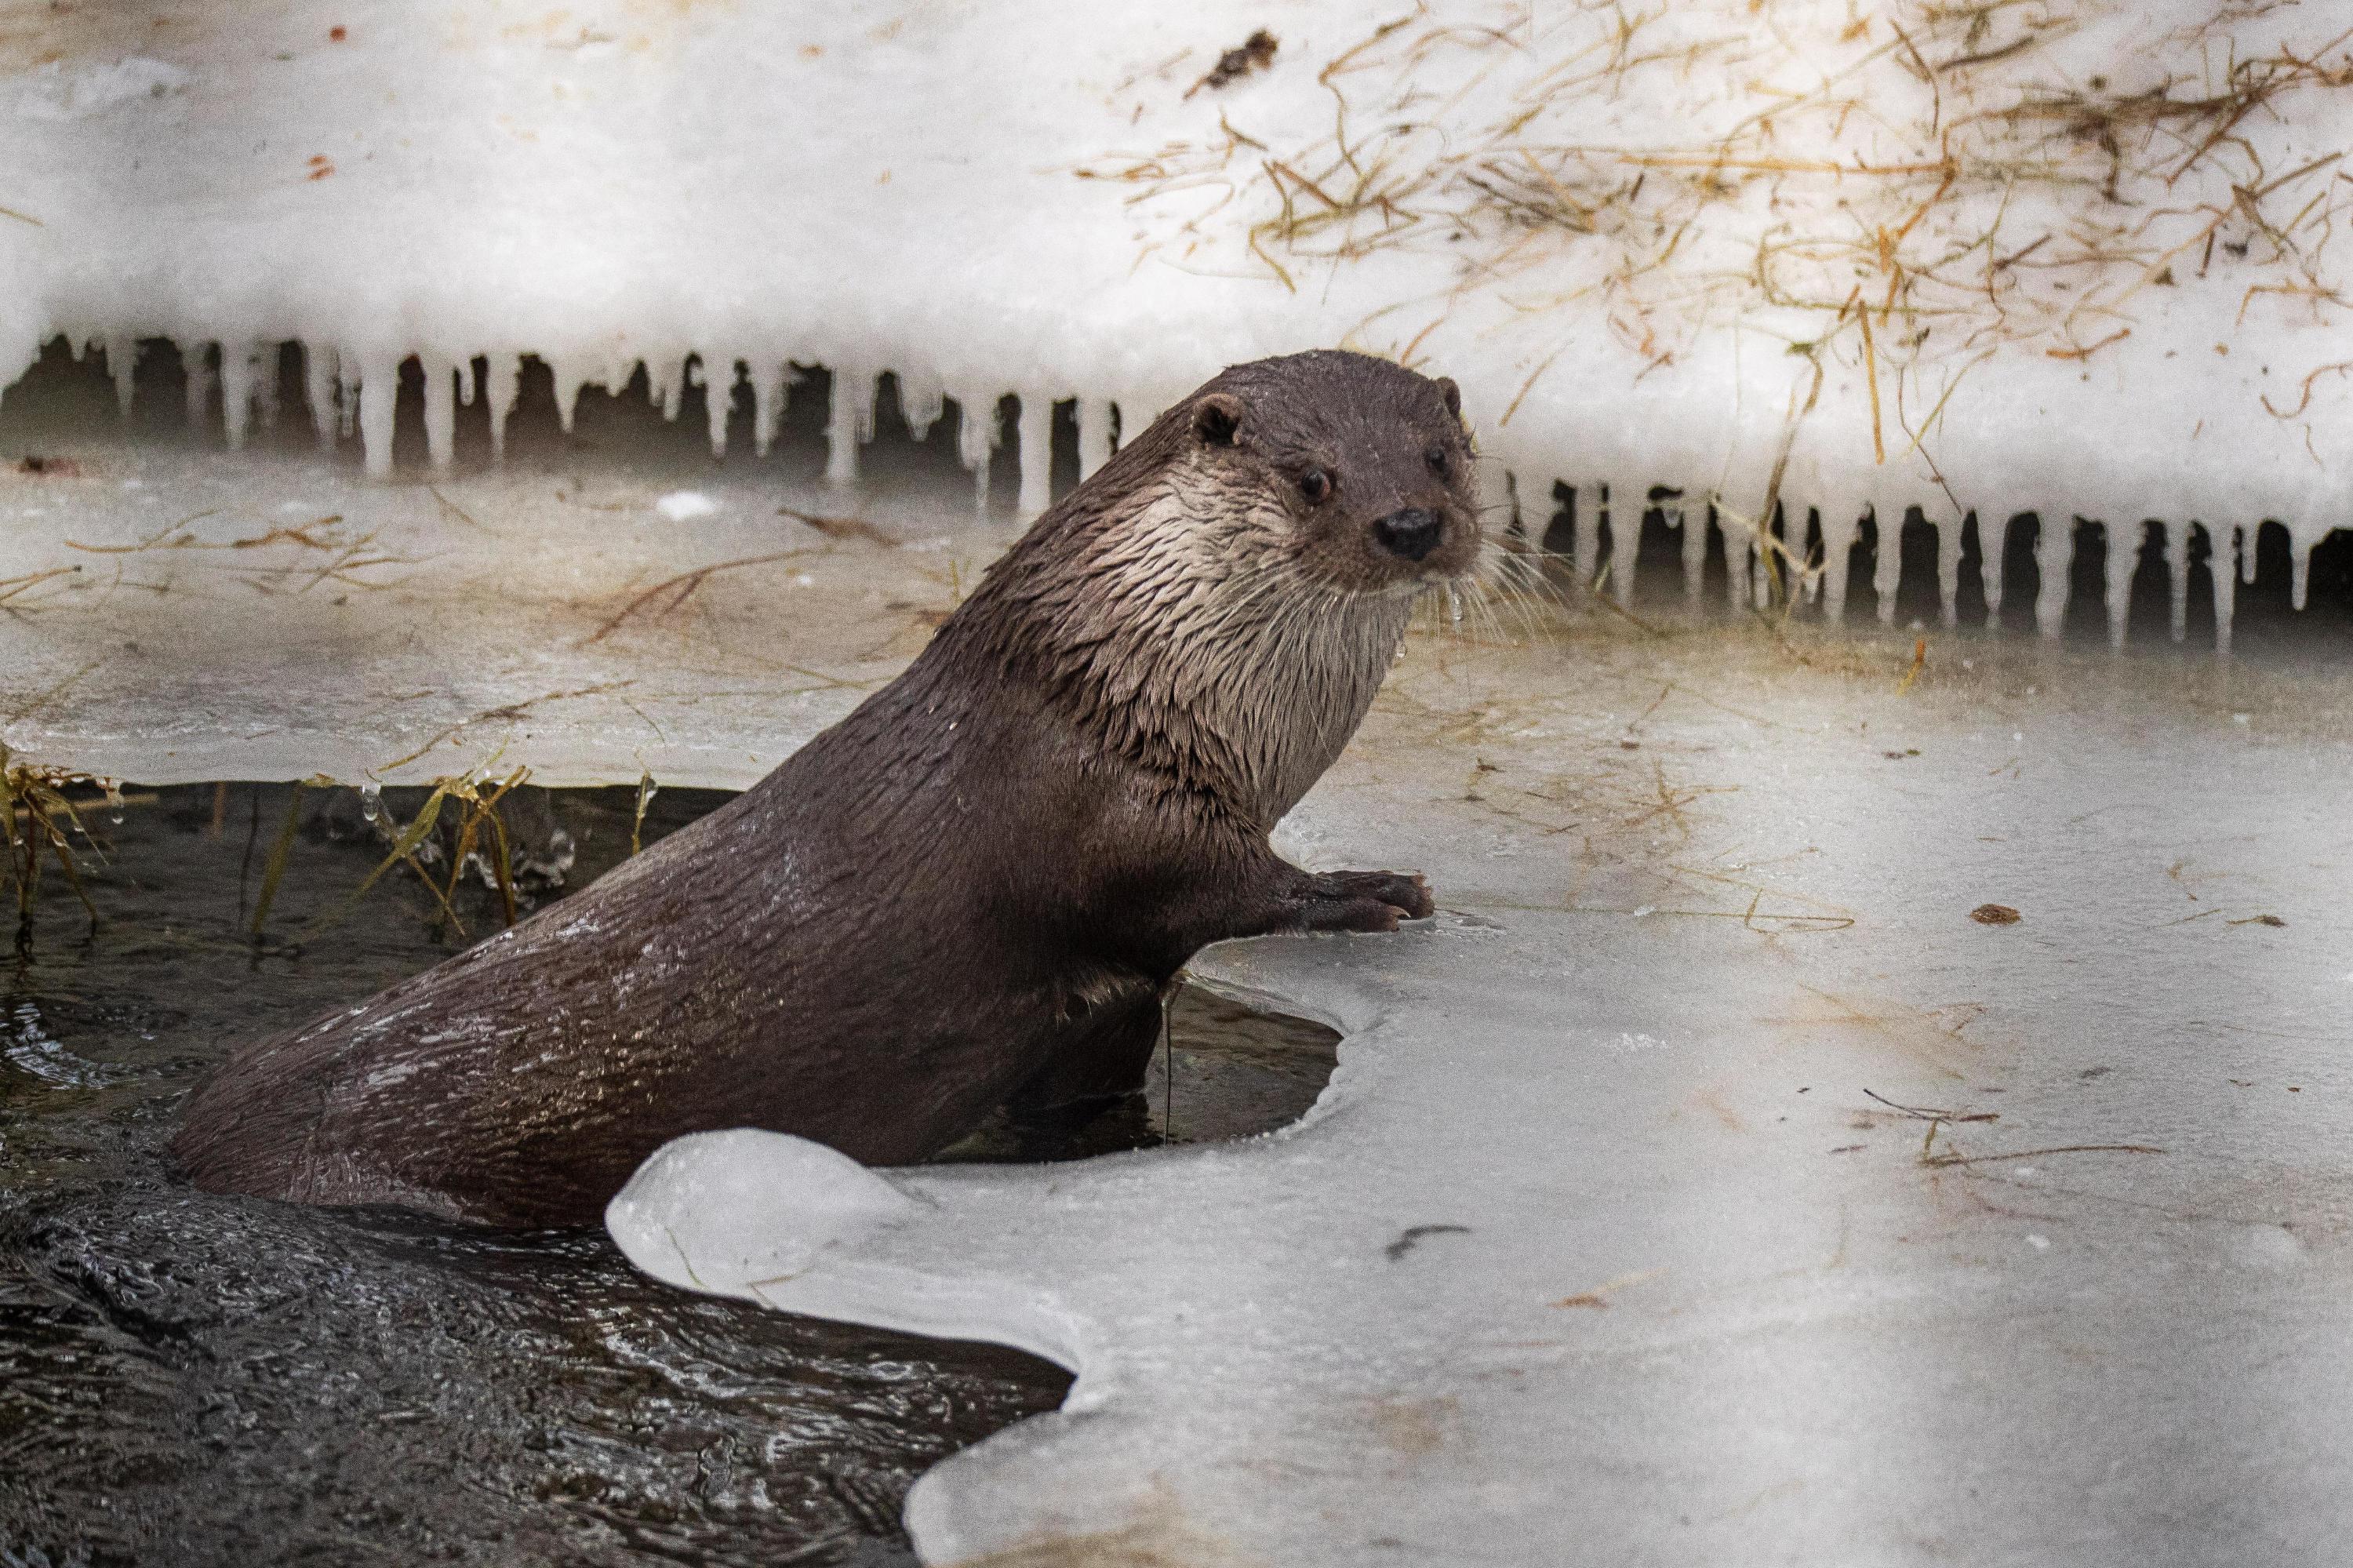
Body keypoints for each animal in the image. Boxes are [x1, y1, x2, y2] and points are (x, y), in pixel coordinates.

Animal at [174, 351, 1478, 1224]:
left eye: (1442, 454)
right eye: (1313, 478)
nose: (1414, 523)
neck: (1128, 680)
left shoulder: (1110, 1006)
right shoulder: (1115, 806)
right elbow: (1204, 881)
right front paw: (1362, 887)